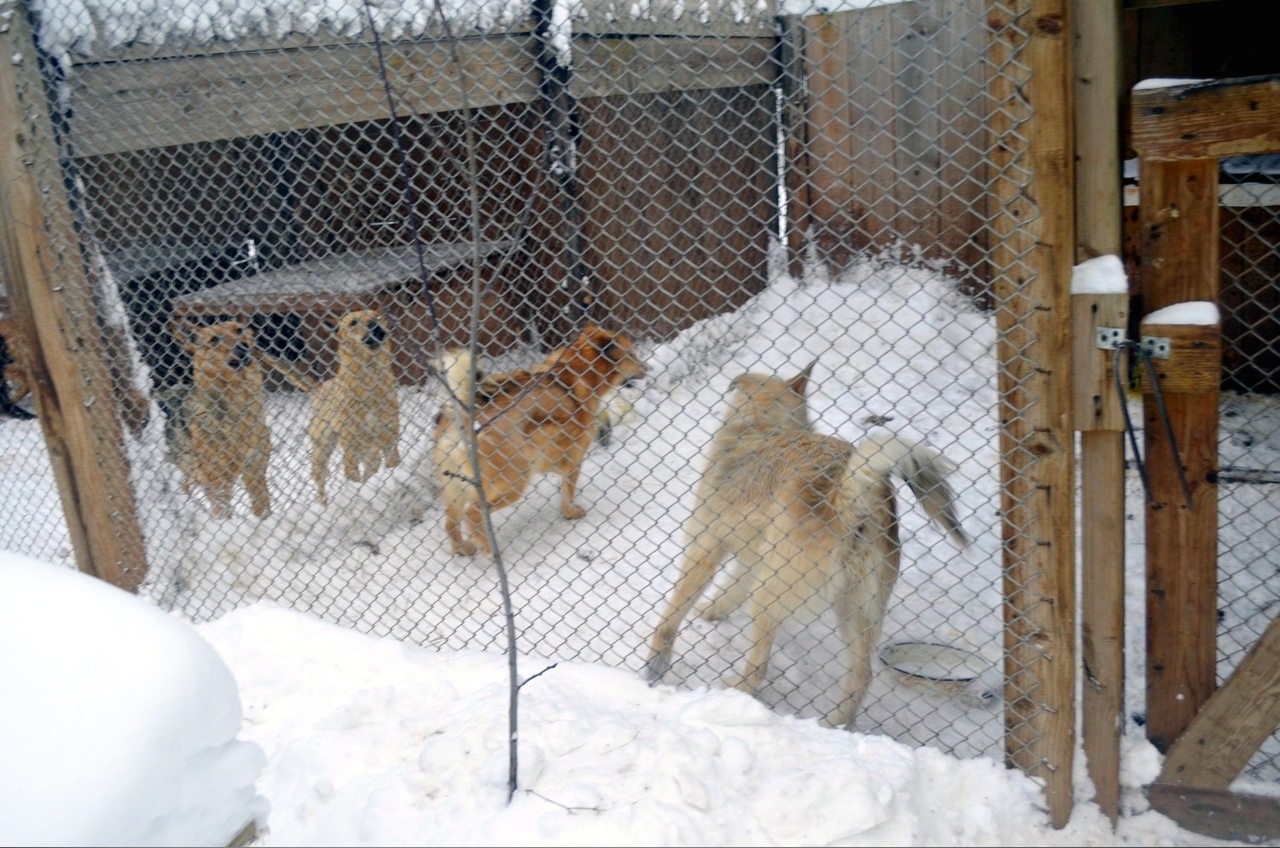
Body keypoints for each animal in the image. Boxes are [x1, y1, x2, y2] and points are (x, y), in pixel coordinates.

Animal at [645, 363, 962, 732]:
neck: (763, 424)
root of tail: (847, 498)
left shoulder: (705, 548)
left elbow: (670, 619)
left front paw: (656, 663)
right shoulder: (753, 557)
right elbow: (729, 590)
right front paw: (711, 612)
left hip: (769, 597)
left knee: (759, 667)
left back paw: (731, 695)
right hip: (856, 611)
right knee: (861, 675)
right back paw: (836, 725)